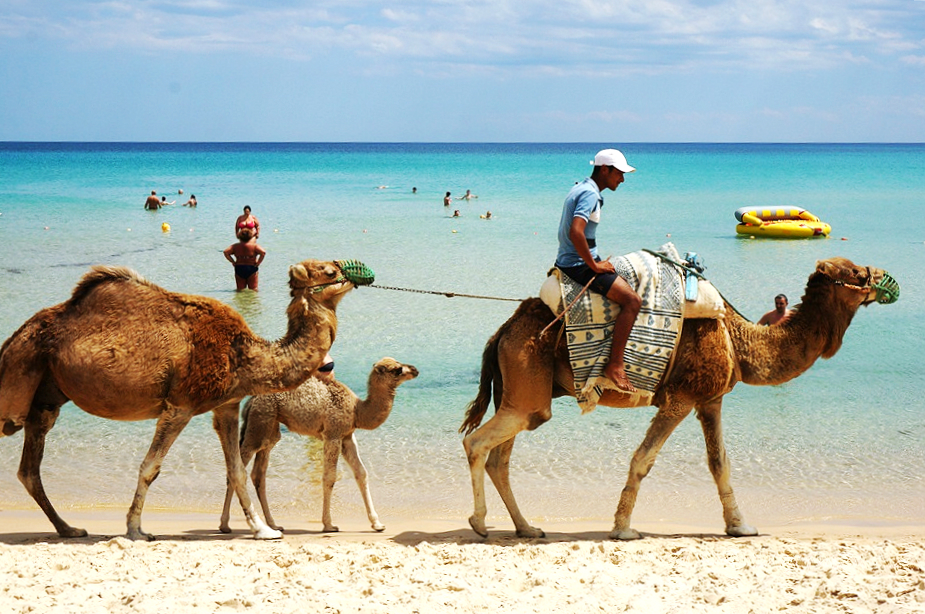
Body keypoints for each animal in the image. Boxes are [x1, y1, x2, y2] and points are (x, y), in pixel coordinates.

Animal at [0, 260, 364, 544]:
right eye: (330, 271)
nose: (359, 274)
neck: (242, 352)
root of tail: (14, 338)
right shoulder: (181, 405)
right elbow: (150, 467)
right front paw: (136, 530)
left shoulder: (226, 405)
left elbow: (236, 470)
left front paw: (263, 530)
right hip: (16, 384)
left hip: (45, 398)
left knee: (29, 470)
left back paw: (69, 529)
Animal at [220, 358, 416, 536]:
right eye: (398, 369)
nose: (415, 370)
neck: (357, 410)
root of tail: (250, 402)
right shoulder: (333, 435)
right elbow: (329, 477)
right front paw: (329, 525)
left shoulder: (347, 436)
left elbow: (361, 473)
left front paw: (377, 524)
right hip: (259, 424)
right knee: (236, 469)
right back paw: (225, 525)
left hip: (269, 428)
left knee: (258, 474)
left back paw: (274, 525)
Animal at [462, 258, 896, 540]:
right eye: (857, 273)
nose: (885, 279)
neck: (737, 340)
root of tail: (502, 332)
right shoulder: (680, 399)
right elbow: (642, 460)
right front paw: (623, 529)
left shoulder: (710, 399)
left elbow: (720, 463)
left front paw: (740, 526)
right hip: (527, 387)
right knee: (476, 443)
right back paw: (480, 524)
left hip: (521, 395)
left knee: (500, 458)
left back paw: (526, 527)